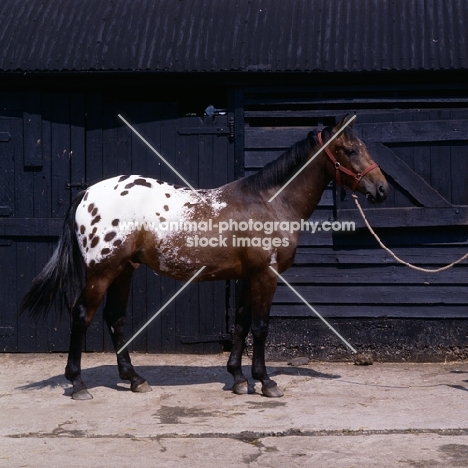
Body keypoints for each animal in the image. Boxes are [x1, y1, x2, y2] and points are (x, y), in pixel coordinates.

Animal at [21, 115, 388, 400]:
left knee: (115, 319)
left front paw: (238, 378)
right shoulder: (265, 275)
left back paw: (135, 379)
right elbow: (260, 326)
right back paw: (78, 384)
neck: (269, 202)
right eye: (350, 150)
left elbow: (241, 322)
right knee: (82, 315)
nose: (382, 189)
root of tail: (86, 193)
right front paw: (266, 382)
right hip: (102, 271)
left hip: (124, 269)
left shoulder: (246, 276)